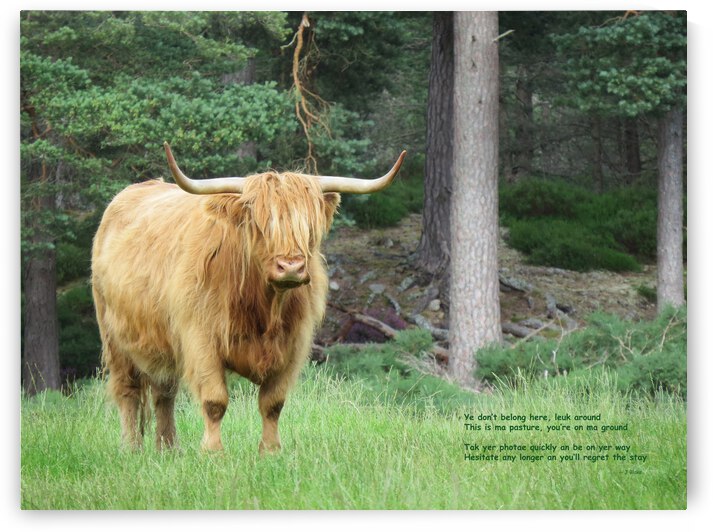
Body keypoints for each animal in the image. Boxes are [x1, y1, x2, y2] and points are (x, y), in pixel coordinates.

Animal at [91, 142, 405, 454]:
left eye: (308, 226)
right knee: (129, 391)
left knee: (163, 392)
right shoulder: (201, 338)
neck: (263, 306)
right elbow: (214, 401)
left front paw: (270, 451)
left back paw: (168, 449)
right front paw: (213, 452)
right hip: (114, 337)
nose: (291, 266)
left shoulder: (293, 344)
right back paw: (131, 448)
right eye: (260, 224)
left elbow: (273, 403)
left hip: (160, 344)